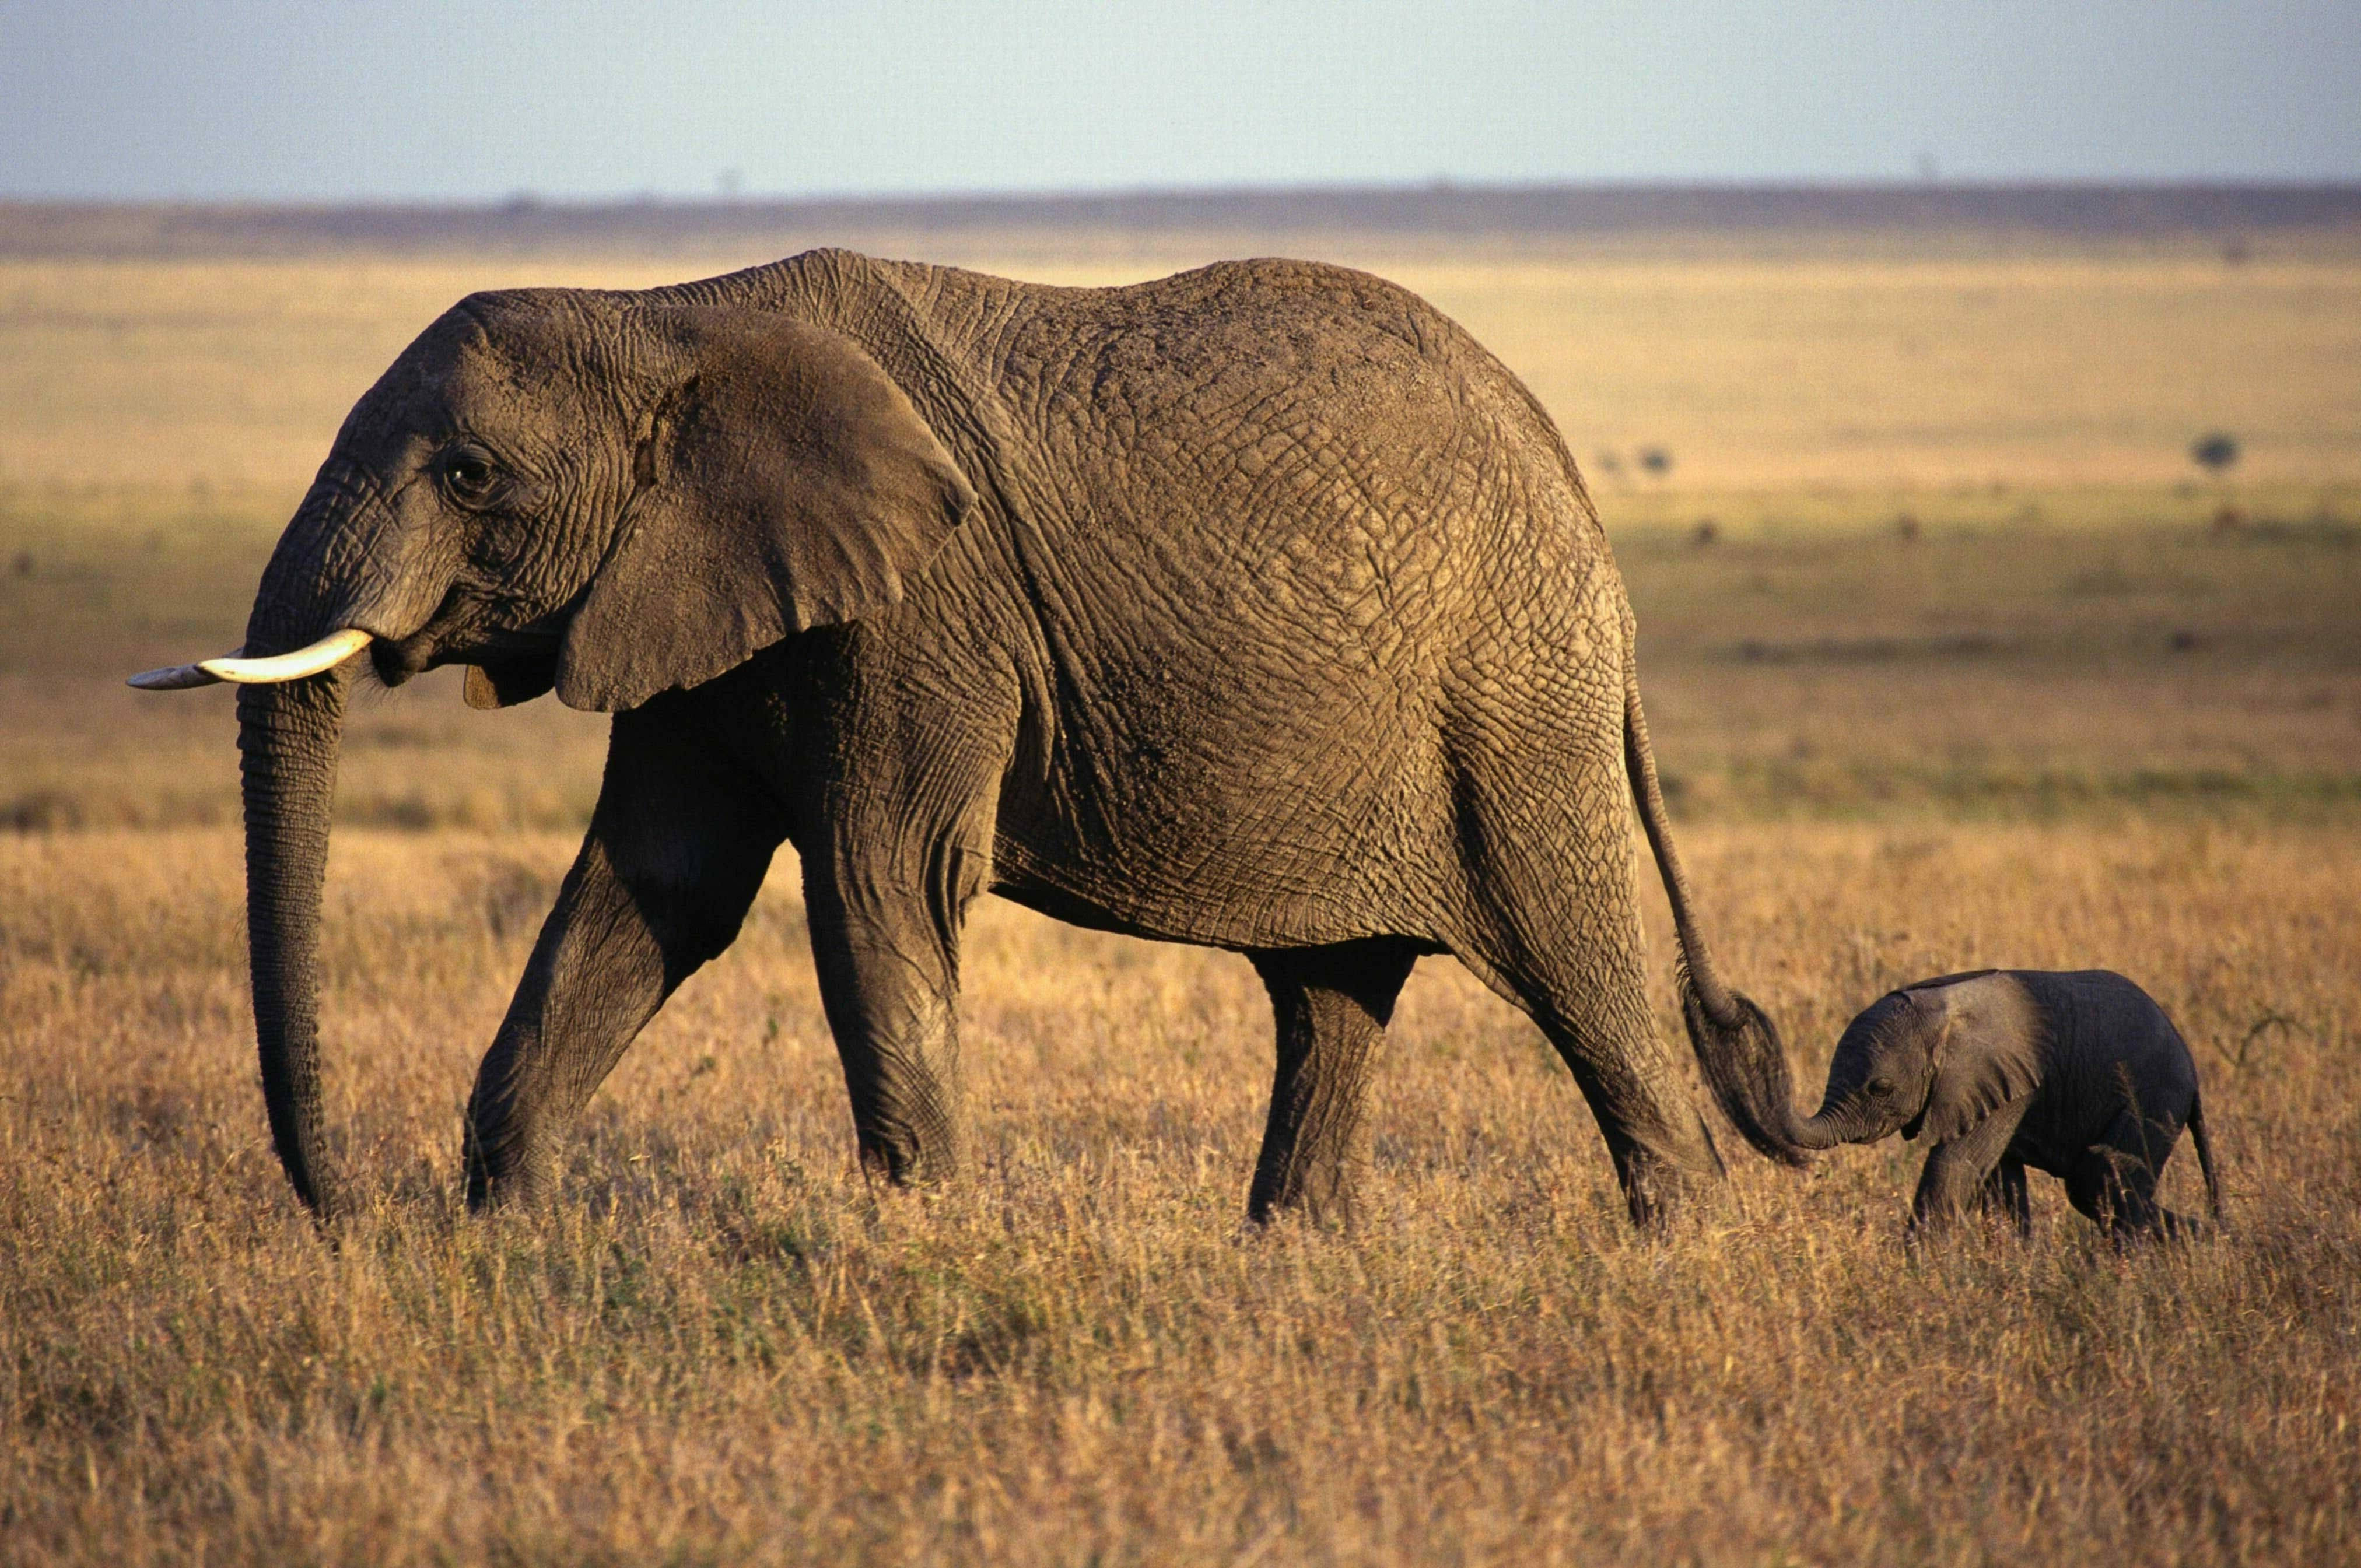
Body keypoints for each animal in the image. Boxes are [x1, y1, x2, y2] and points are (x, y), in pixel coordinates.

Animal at [130, 248, 1808, 1229]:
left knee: (1574, 963)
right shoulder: (692, 598)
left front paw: (915, 1246)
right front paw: (509, 1244)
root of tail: (1570, 477)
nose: (349, 1211)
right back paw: (1292, 1262)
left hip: (1511, 704)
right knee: (1331, 994)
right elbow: (654, 891)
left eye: (470, 475)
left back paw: (1679, 1255)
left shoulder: (923, 608)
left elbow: (876, 884)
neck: (665, 310)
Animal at [1795, 969, 2221, 1239]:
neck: (1940, 1012)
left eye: (1880, 1088)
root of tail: (2189, 1061)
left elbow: (1954, 1170)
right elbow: (1999, 1182)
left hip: (2154, 1095)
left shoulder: (1996, 1081)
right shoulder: (1996, 1091)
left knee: (2099, 1181)